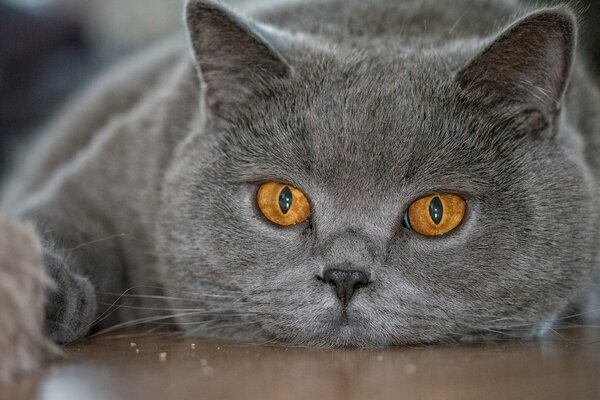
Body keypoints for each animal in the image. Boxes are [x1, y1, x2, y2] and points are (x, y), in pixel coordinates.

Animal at [1, 0, 600, 382]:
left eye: (437, 211)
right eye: (282, 201)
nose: (345, 276)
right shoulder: (108, 183)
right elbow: (59, 220)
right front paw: (36, 298)